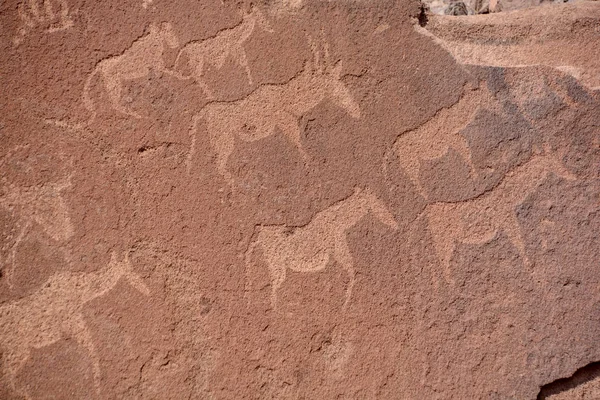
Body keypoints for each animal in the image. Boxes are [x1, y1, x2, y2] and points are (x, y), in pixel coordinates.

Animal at [0, 252, 149, 398]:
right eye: (131, 271)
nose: (146, 288)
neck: (80, 293)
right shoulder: (75, 326)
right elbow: (93, 352)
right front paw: (98, 387)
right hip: (19, 350)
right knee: (12, 376)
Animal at [188, 36, 360, 184]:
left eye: (344, 85)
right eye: (336, 89)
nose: (356, 110)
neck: (290, 98)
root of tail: (205, 112)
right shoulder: (286, 122)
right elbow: (299, 143)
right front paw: (312, 165)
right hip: (224, 139)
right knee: (220, 164)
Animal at [246, 188, 400, 310]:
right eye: (378, 202)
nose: (394, 223)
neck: (339, 224)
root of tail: (260, 234)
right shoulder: (338, 251)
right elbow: (352, 274)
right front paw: (345, 305)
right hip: (276, 263)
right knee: (273, 287)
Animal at [422, 148, 576, 286]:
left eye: (559, 160)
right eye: (554, 162)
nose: (572, 175)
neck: (510, 195)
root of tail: (428, 211)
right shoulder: (508, 221)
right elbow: (520, 242)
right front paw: (530, 266)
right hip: (444, 240)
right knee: (443, 261)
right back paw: (453, 285)